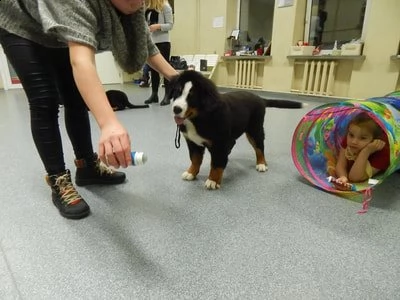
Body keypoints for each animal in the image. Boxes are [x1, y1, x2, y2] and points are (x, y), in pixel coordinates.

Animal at [168, 69, 304, 190]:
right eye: (177, 92)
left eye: (192, 97)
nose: (176, 109)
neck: (198, 117)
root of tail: (260, 98)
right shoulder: (193, 142)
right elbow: (195, 159)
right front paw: (191, 173)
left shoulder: (220, 143)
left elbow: (216, 164)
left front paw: (213, 180)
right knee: (234, 143)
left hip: (255, 129)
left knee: (259, 147)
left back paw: (261, 164)